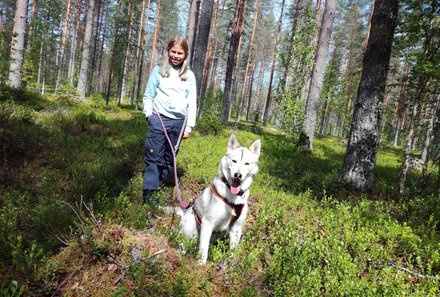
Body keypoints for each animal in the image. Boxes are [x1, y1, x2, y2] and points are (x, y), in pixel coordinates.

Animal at [175, 133, 260, 262]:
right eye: (234, 161)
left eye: (247, 163)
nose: (238, 175)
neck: (232, 197)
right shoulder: (207, 223)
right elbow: (203, 250)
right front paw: (201, 264)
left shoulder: (236, 227)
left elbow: (233, 251)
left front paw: (231, 264)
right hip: (190, 225)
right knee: (182, 241)